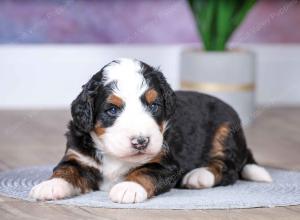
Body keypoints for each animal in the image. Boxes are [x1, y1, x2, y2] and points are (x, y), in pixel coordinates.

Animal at [28, 58, 272, 203]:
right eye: (112, 109)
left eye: (154, 106)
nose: (141, 141)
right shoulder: (78, 155)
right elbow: (66, 169)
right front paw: (50, 186)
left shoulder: (166, 163)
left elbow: (145, 172)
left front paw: (128, 187)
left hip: (225, 129)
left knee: (228, 168)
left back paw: (199, 176)